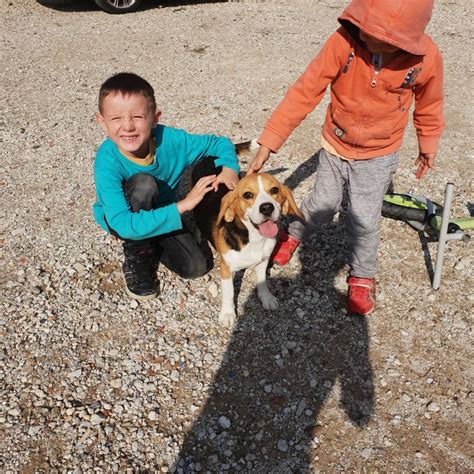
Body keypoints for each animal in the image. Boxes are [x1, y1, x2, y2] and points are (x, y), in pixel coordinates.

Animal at [193, 144, 304, 328]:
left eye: (274, 190)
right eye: (247, 195)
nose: (266, 208)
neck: (254, 240)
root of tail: (211, 156)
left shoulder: (263, 261)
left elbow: (262, 282)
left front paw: (266, 298)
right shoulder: (226, 269)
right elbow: (229, 293)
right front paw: (228, 313)